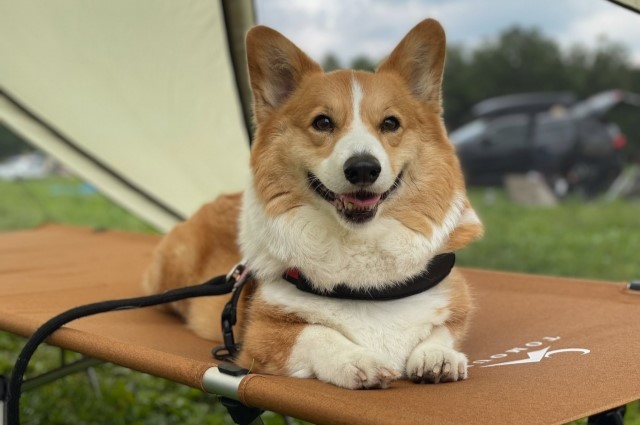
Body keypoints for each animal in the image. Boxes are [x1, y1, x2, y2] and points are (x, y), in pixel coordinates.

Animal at [145, 18, 482, 388]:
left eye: (390, 123)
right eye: (322, 122)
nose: (363, 168)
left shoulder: (454, 304)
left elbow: (441, 331)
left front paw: (437, 357)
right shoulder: (262, 334)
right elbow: (318, 333)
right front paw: (359, 360)